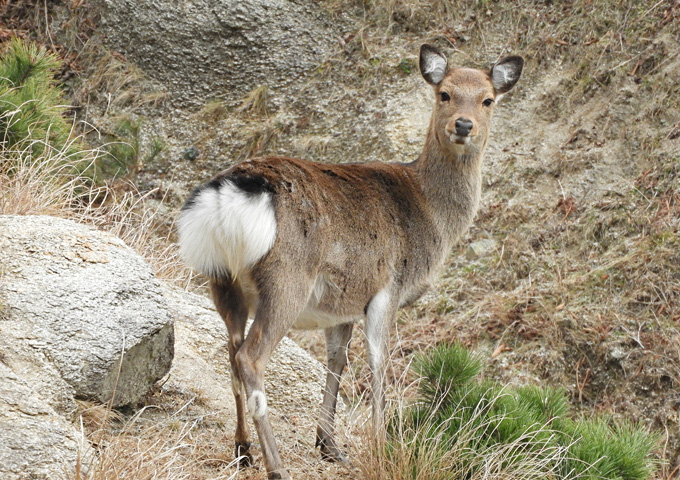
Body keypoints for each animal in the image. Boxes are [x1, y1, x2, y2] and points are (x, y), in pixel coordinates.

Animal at [178, 43, 524, 478]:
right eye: (444, 93)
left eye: (487, 99)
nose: (463, 125)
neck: (430, 213)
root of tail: (229, 195)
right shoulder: (388, 287)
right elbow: (378, 364)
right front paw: (381, 446)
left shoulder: (341, 305)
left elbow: (336, 361)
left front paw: (329, 445)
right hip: (287, 280)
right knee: (250, 358)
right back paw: (277, 466)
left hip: (222, 280)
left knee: (231, 353)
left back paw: (243, 450)